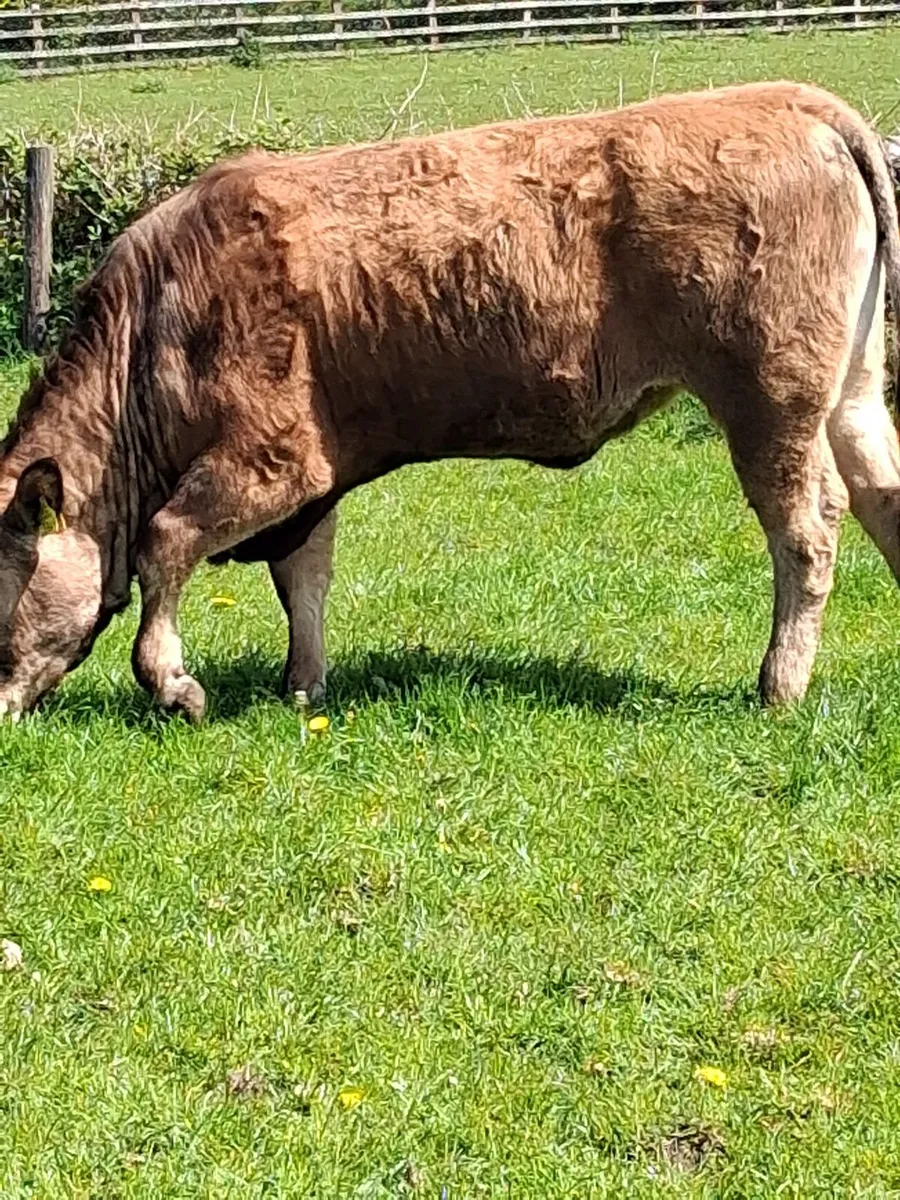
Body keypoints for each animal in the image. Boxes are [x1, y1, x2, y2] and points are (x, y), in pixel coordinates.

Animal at [1, 79, 899, 722]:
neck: (157, 318)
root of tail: (799, 102)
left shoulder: (274, 459)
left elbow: (166, 541)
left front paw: (175, 686)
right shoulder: (311, 479)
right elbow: (304, 579)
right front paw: (303, 687)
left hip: (771, 398)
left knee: (808, 527)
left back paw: (776, 687)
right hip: (849, 393)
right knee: (882, 496)